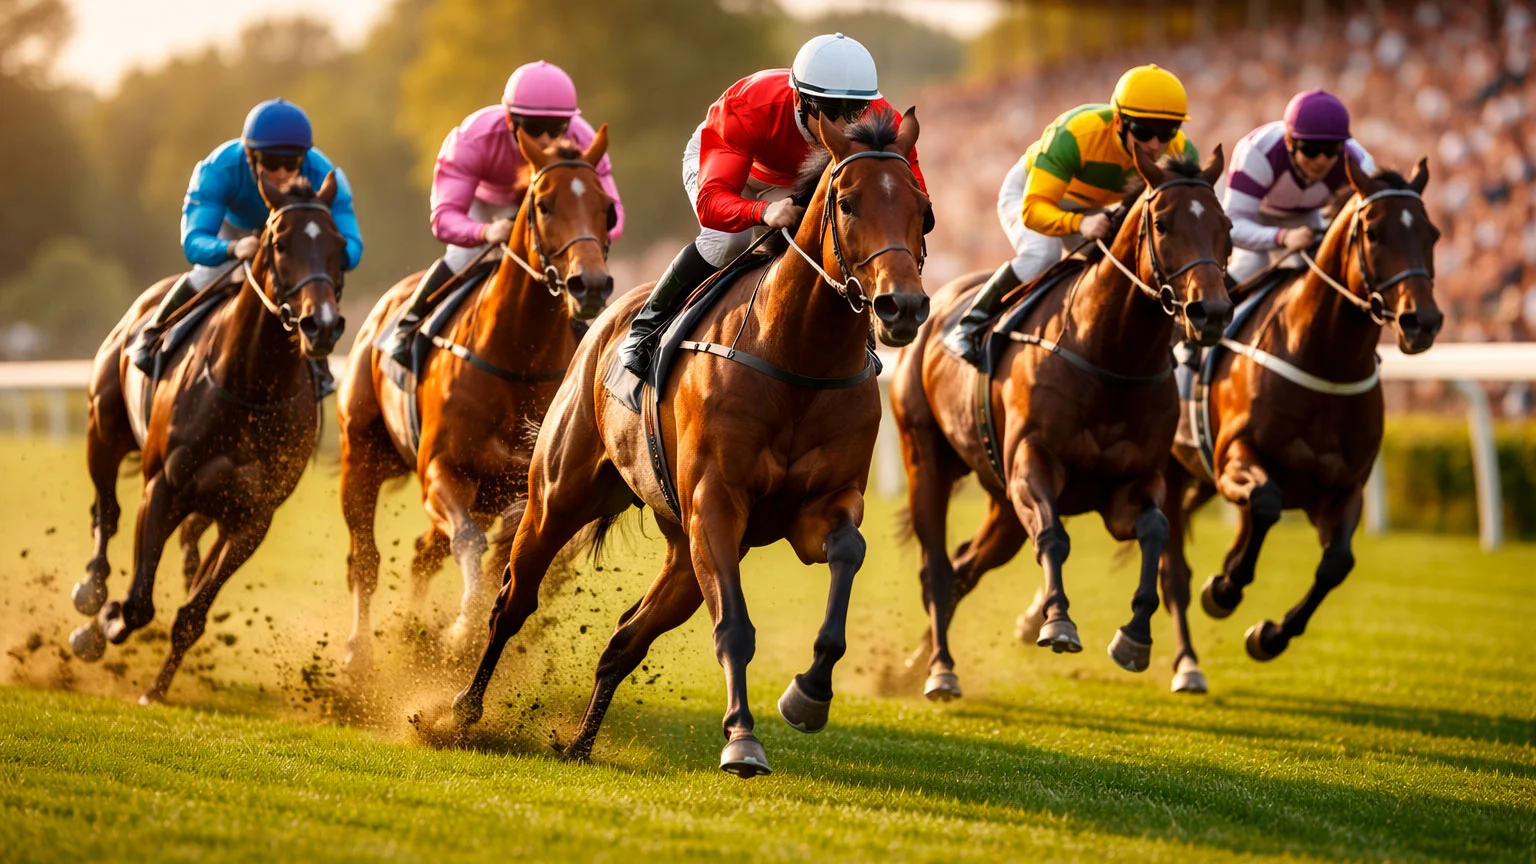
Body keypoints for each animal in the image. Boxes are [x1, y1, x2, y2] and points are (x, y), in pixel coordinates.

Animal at [68, 173, 348, 704]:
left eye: (340, 246)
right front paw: (103, 623)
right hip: (103, 428)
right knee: (105, 511)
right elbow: (137, 600)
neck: (250, 387)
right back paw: (91, 592)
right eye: (280, 243)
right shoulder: (162, 487)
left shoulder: (252, 517)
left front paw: (155, 689)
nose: (321, 324)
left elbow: (192, 614)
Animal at [337, 127, 615, 671]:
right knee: (365, 557)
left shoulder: (521, 487)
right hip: (361, 455)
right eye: (544, 204)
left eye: (607, 208)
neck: (517, 359)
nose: (590, 284)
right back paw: (359, 650)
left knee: (422, 552)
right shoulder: (441, 469)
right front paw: (462, 629)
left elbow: (505, 553)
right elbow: (469, 541)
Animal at [450, 109, 932, 778]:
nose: (902, 305)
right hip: (558, 499)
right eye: (847, 202)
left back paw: (579, 744)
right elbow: (734, 626)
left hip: (682, 550)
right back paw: (461, 711)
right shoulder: (716, 504)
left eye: (923, 209)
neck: (798, 356)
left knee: (625, 639)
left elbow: (848, 552)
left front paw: (808, 694)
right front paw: (742, 740)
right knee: (513, 601)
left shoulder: (818, 507)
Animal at [891, 146, 1234, 702]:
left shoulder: (1134, 482)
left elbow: (1155, 531)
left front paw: (1135, 637)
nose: (1213, 312)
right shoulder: (1034, 460)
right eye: (1162, 223)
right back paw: (940, 670)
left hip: (1001, 503)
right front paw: (1057, 622)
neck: (1110, 354)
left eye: (1226, 226)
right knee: (937, 568)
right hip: (926, 458)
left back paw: (909, 665)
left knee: (966, 566)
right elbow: (1053, 536)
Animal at [1160, 156, 1441, 675]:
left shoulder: (1344, 488)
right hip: (1170, 471)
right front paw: (1225, 590)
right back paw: (1188, 659)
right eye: (1374, 232)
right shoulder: (1234, 458)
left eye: (1431, 233)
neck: (1323, 363)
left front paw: (1269, 635)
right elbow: (1267, 501)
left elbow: (1337, 563)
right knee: (1174, 570)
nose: (1423, 322)